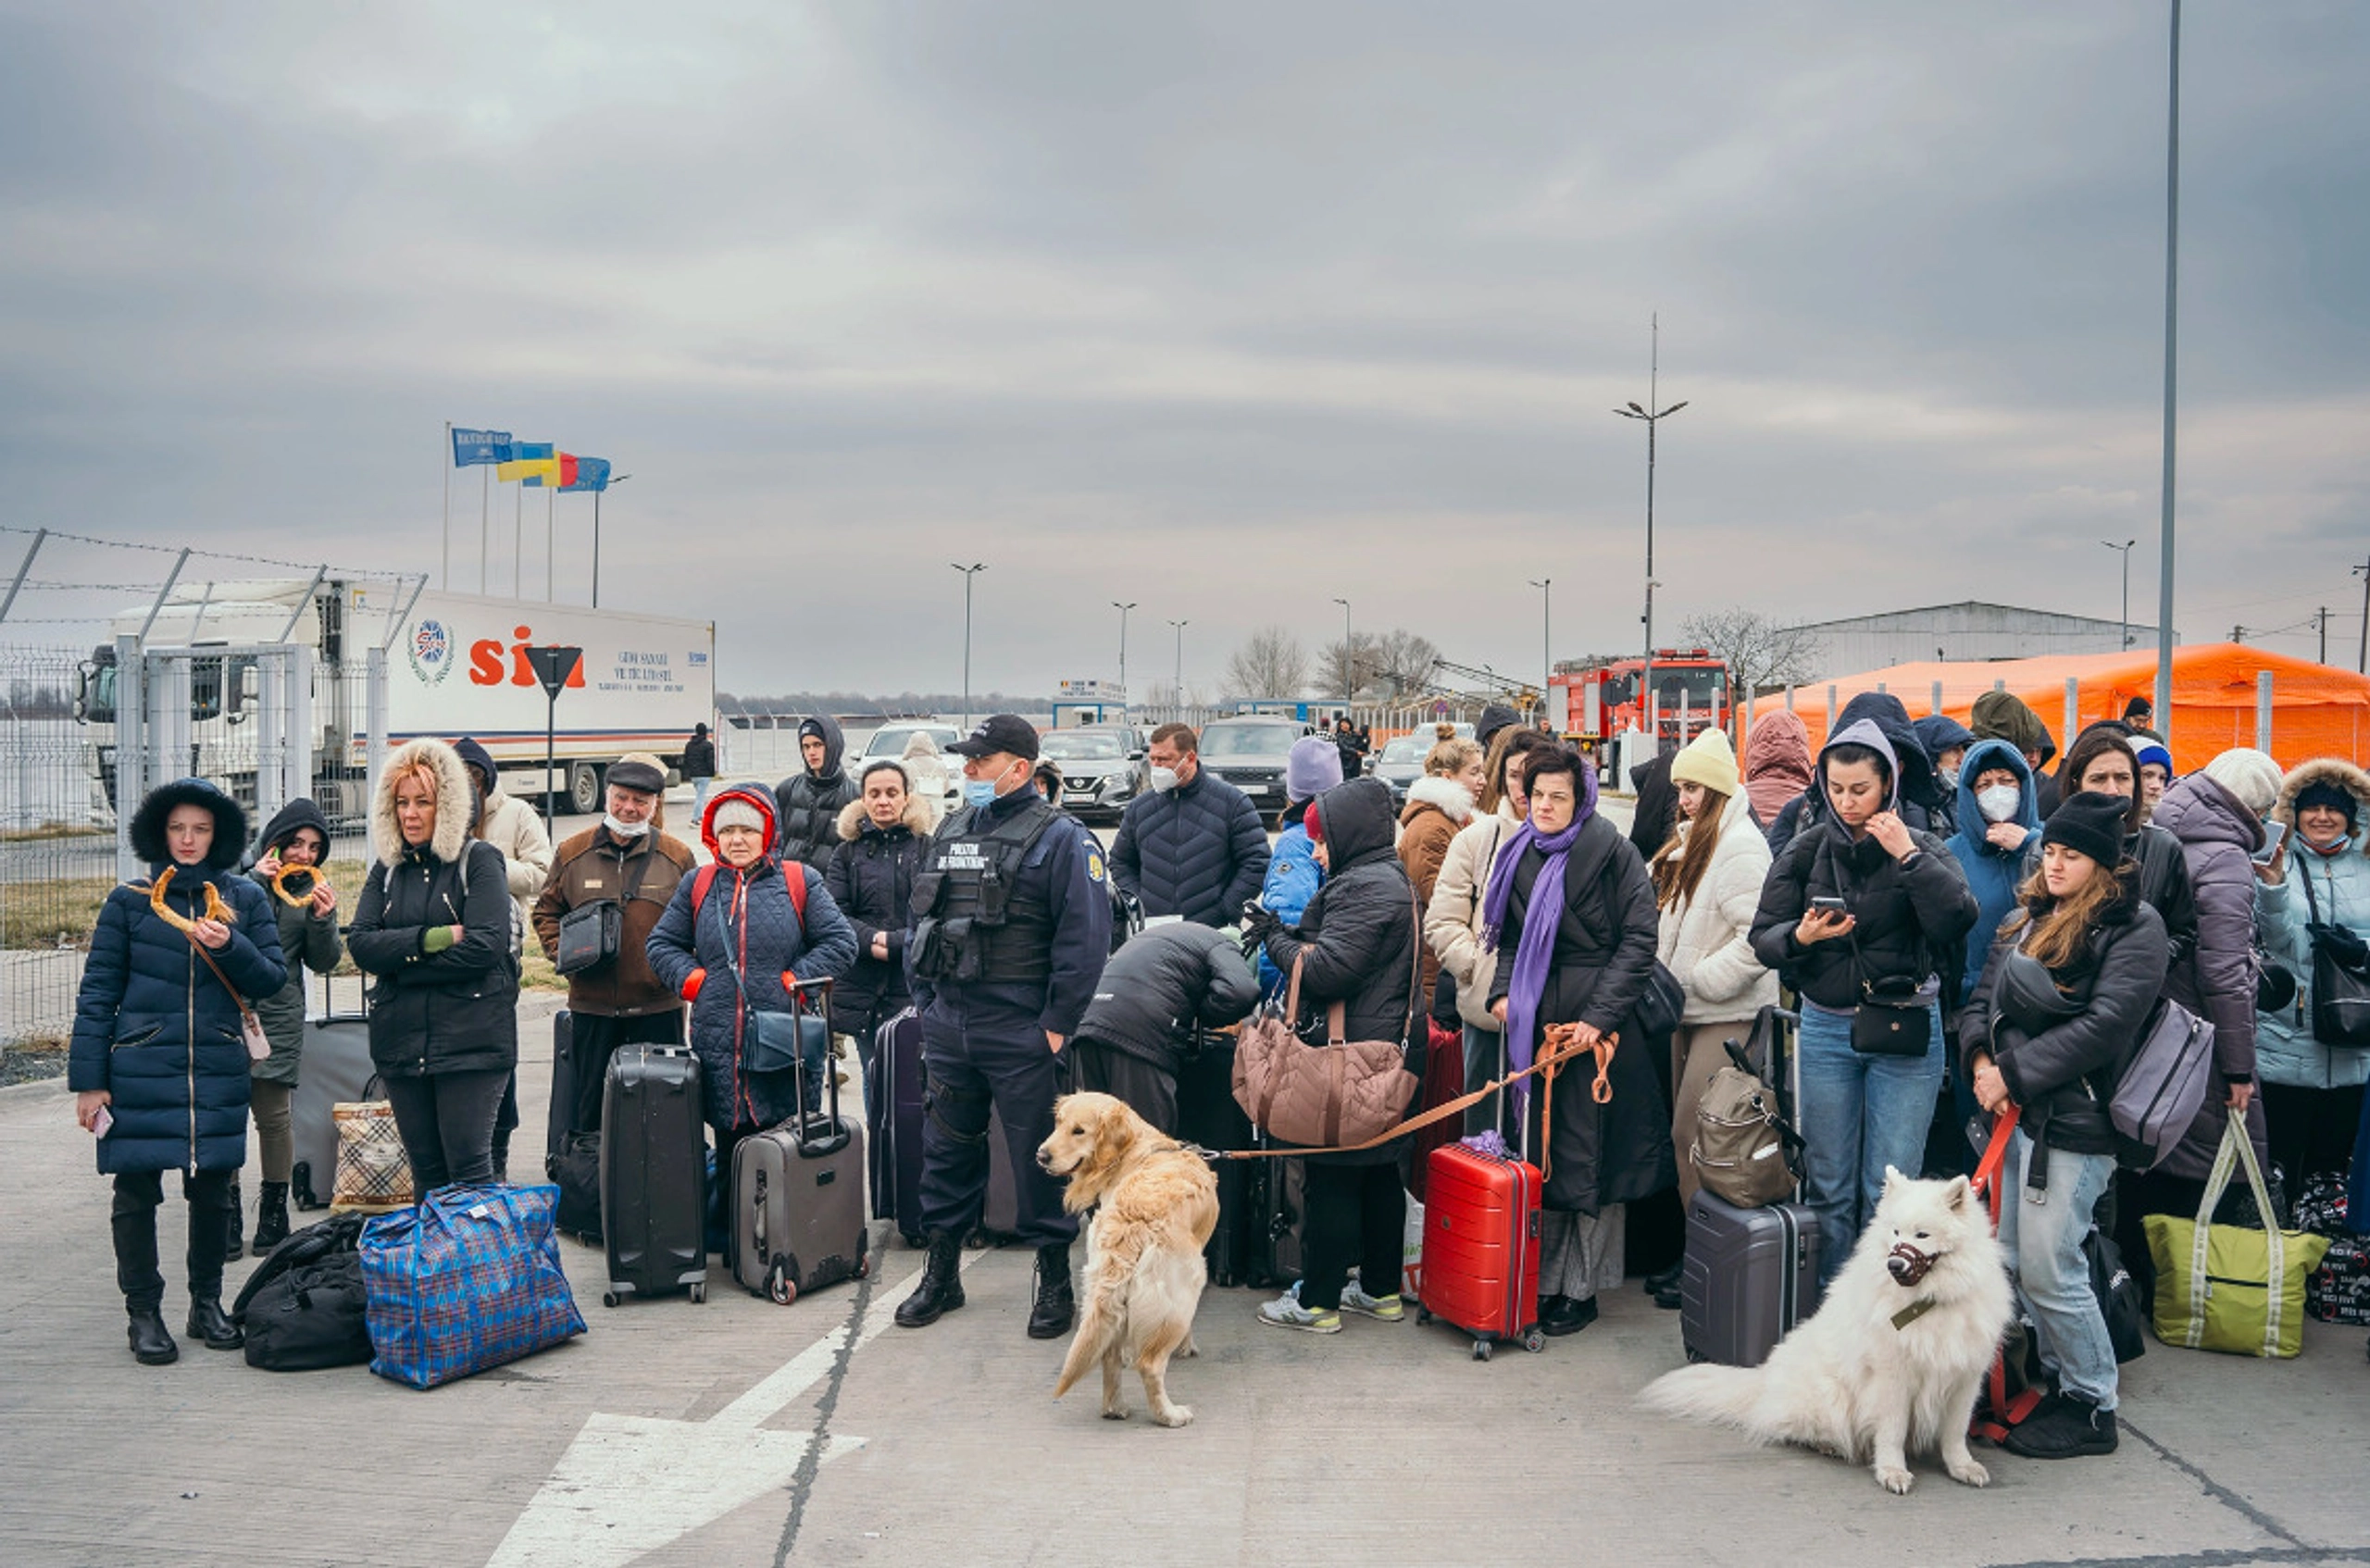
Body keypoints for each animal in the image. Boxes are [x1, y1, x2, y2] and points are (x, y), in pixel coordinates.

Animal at [1042, 1099, 1222, 1430]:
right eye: (1059, 1123)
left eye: (1078, 1130)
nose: (1041, 1155)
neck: (1139, 1150)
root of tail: (1132, 1222)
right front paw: (1187, 1346)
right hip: (1184, 1288)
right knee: (1150, 1364)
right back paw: (1170, 1415)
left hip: (1099, 1283)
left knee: (1108, 1354)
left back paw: (1114, 1407)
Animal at [1649, 1164, 2019, 1497]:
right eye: (1895, 1232)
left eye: (1922, 1235)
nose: (1894, 1264)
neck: (1928, 1301)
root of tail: (1764, 1379)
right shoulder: (1892, 1378)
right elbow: (1892, 1430)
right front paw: (1892, 1472)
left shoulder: (1964, 1377)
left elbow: (1955, 1432)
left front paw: (1963, 1467)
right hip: (1829, 1395)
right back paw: (1829, 1445)